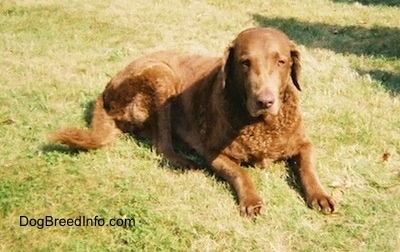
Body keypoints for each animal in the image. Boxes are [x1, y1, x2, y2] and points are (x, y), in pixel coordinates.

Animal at [50, 27, 338, 217]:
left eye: (281, 61)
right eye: (245, 63)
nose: (264, 101)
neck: (261, 124)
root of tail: (107, 88)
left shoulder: (303, 143)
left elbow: (308, 168)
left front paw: (320, 195)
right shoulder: (213, 153)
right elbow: (241, 173)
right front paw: (251, 199)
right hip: (161, 75)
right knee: (161, 146)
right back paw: (185, 162)